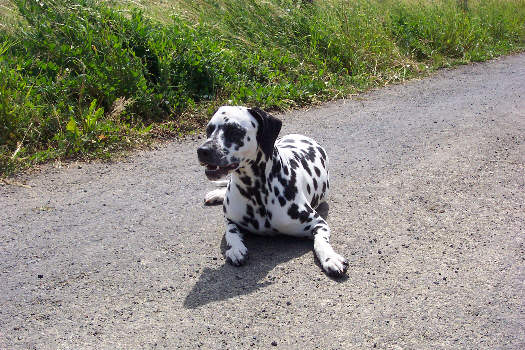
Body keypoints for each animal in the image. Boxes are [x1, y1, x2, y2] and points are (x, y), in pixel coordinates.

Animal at [196, 106, 348, 276]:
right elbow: (231, 232)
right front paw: (236, 249)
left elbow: (321, 242)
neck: (255, 191)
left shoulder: (319, 223)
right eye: (209, 129)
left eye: (234, 131)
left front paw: (330, 258)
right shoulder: (230, 219)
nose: (202, 150)